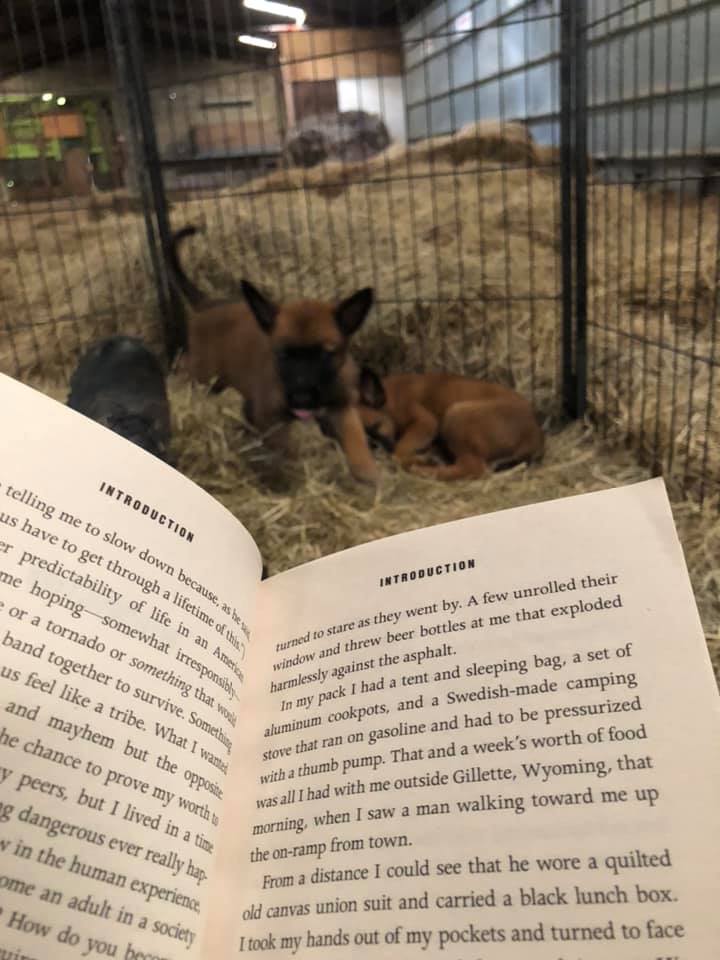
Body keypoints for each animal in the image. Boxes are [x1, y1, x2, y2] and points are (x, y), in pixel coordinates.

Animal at [166, 226, 378, 484]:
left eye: (325, 355)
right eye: (282, 354)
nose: (302, 398)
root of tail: (207, 303)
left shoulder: (342, 408)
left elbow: (355, 438)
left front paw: (366, 470)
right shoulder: (272, 417)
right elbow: (283, 448)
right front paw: (286, 473)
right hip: (204, 374)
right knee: (185, 368)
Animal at [358, 368, 544, 480]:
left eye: (377, 426)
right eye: (367, 441)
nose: (378, 453)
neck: (391, 398)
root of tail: (534, 437)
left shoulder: (425, 423)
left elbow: (399, 451)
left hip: (456, 414)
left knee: (472, 468)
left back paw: (425, 468)